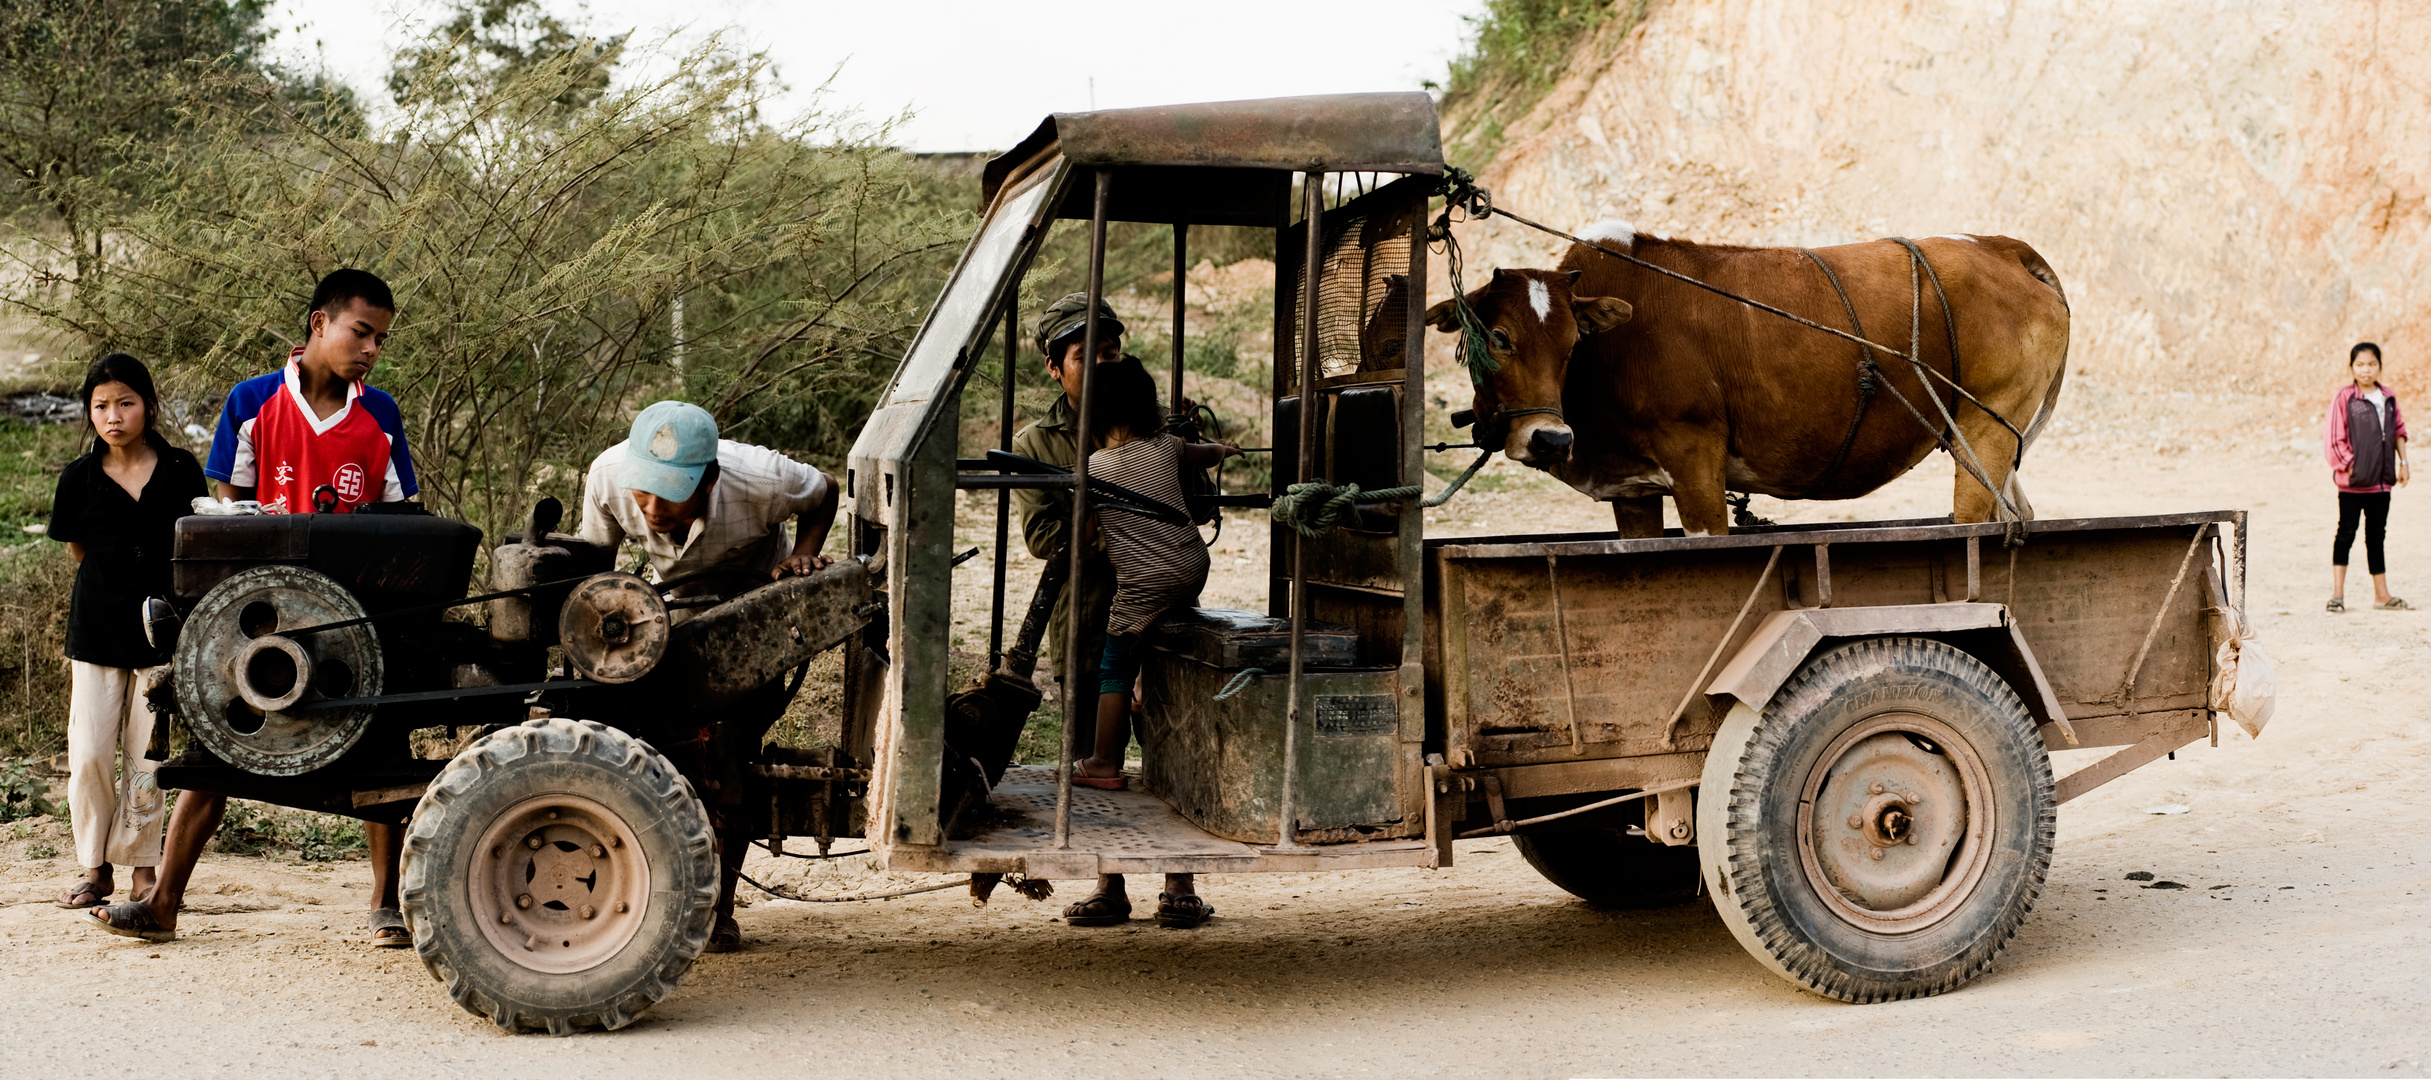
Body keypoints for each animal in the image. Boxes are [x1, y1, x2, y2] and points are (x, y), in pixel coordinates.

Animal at [1419, 227, 2071, 535]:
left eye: (1572, 343)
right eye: (1497, 337)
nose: (1551, 439)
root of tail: (1999, 246)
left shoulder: (1696, 461)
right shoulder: (1633, 490)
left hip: (1986, 425)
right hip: (1988, 441)